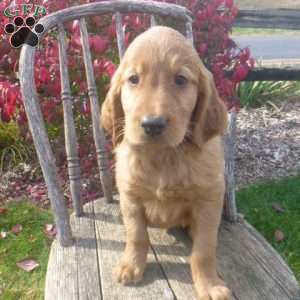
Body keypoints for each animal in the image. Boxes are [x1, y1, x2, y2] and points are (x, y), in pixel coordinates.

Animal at [101, 25, 230, 300]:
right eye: (133, 79)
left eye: (180, 79)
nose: (152, 124)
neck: (163, 156)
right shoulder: (130, 198)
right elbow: (136, 235)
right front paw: (131, 266)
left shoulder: (209, 200)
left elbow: (204, 249)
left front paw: (209, 284)